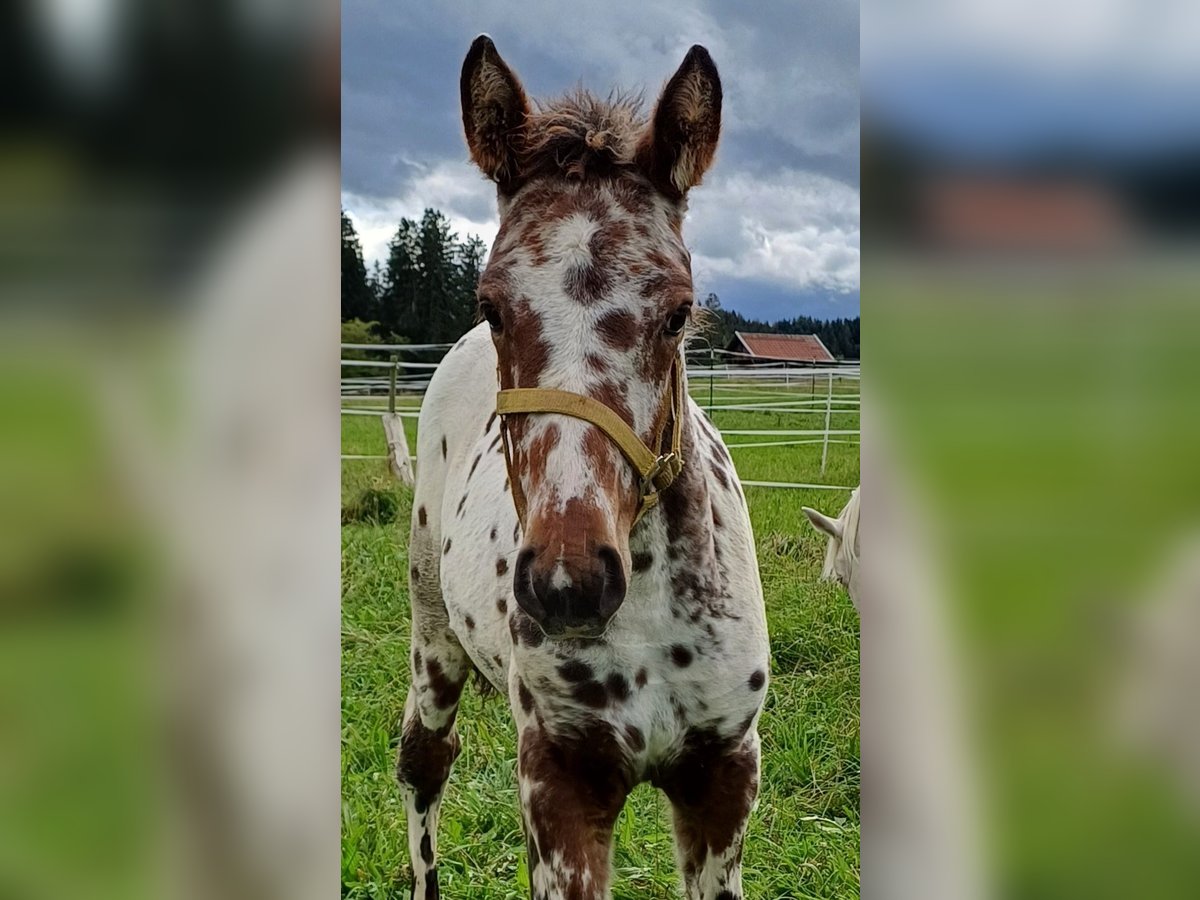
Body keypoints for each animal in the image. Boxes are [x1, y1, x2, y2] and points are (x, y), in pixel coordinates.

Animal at [398, 37, 763, 900]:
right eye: (492, 306)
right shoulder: (561, 778)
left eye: (677, 313)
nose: (570, 583)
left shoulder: (724, 777)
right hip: (432, 635)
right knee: (424, 763)